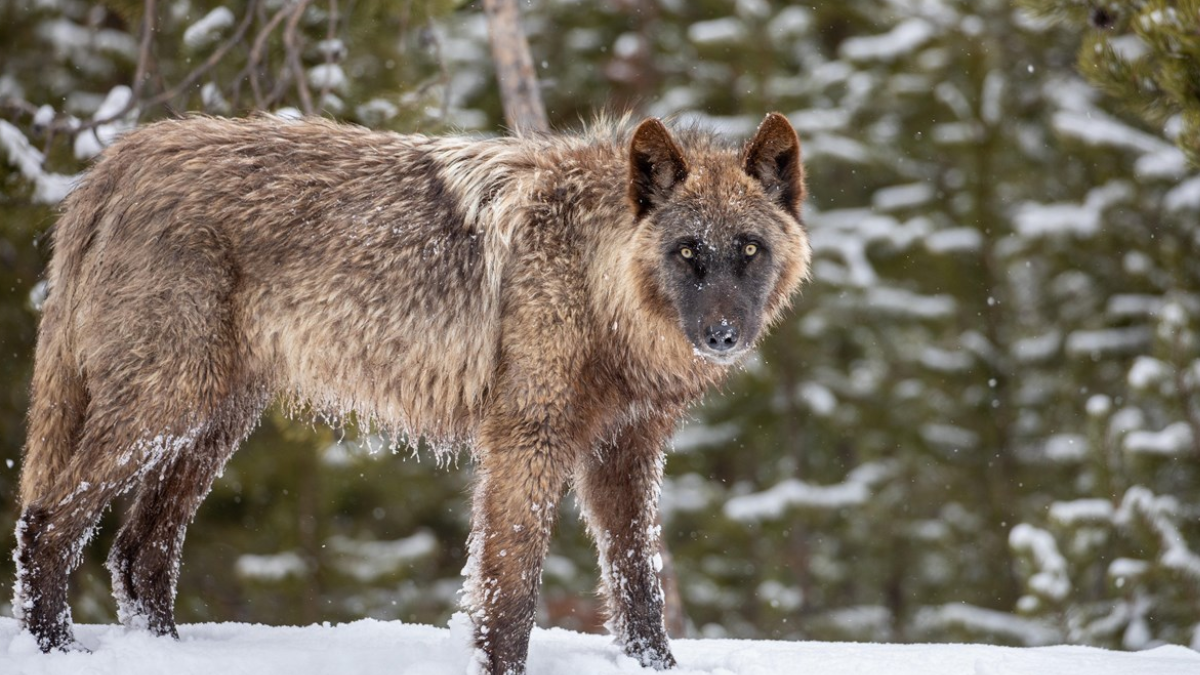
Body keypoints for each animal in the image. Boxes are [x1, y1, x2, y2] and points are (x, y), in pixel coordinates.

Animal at [13, 111, 810, 674]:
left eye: (748, 250)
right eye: (687, 251)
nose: (721, 335)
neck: (594, 278)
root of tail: (117, 161)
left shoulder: (625, 454)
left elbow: (638, 586)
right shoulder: (526, 440)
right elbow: (509, 590)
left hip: (210, 424)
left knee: (137, 551)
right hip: (166, 409)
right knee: (48, 521)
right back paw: (58, 652)